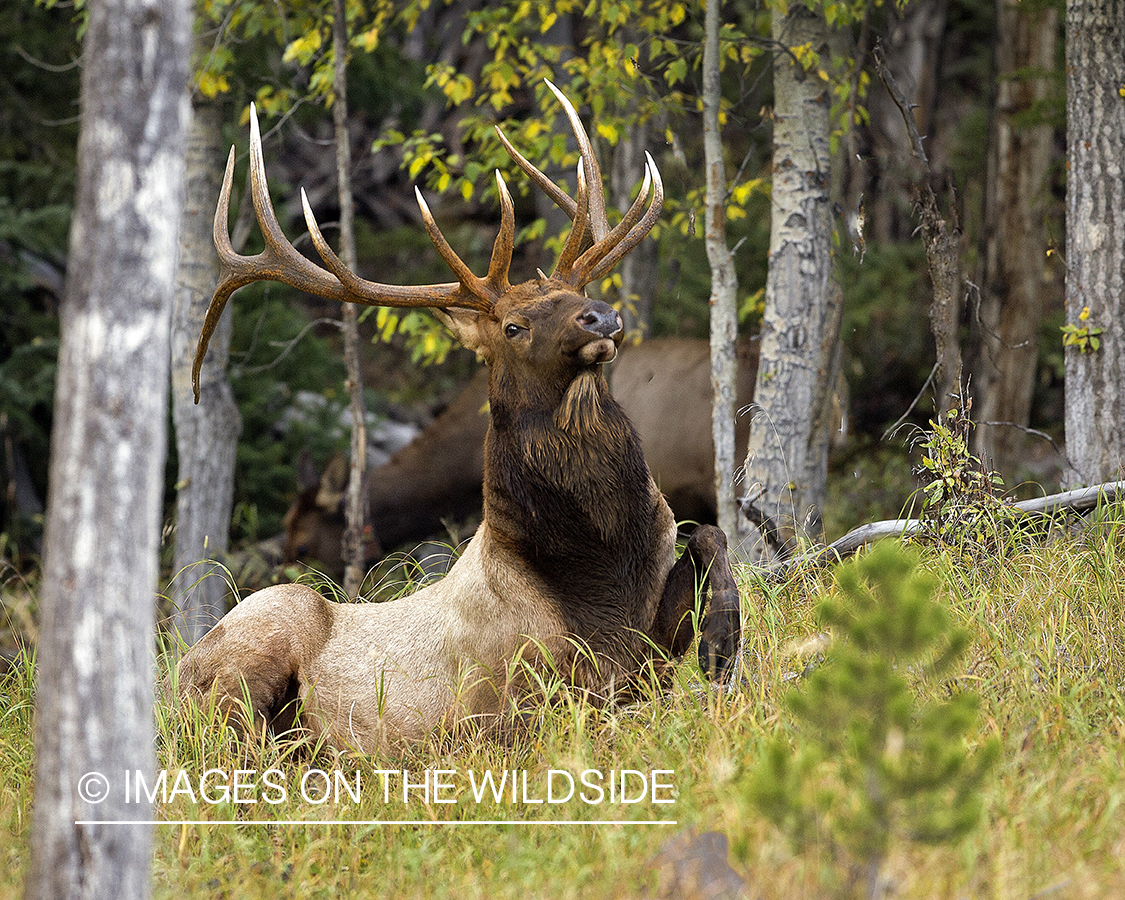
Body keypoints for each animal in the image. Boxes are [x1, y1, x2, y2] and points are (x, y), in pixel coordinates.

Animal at [173, 82, 738, 751]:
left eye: (577, 295)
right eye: (514, 326)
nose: (600, 316)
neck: (600, 567)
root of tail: (175, 676)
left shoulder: (647, 634)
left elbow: (711, 535)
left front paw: (723, 644)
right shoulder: (516, 697)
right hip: (268, 628)